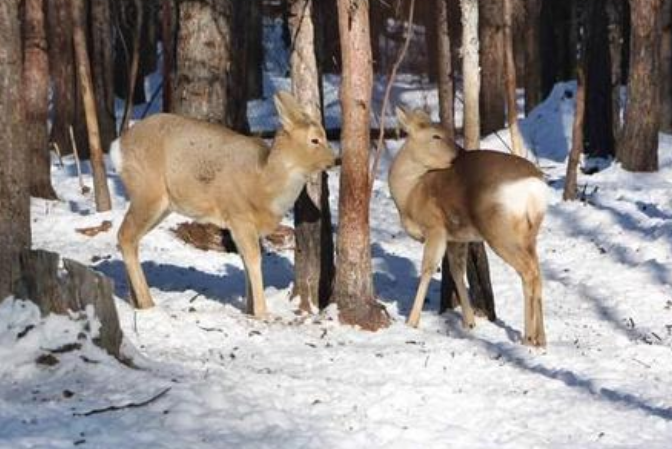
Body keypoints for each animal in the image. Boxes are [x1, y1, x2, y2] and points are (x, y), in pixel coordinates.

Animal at [110, 90, 336, 316]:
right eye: (315, 139)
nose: (334, 160)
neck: (263, 185)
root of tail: (117, 147)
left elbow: (245, 260)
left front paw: (249, 309)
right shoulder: (239, 215)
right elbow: (254, 259)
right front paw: (262, 313)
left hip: (161, 205)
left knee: (130, 239)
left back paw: (135, 300)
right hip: (148, 192)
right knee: (125, 235)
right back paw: (147, 302)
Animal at [386, 108, 548, 346]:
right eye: (436, 135)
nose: (459, 153)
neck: (410, 194)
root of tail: (534, 187)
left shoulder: (435, 227)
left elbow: (427, 269)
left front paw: (411, 322)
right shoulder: (456, 236)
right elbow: (456, 270)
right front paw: (469, 322)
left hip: (500, 231)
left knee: (528, 273)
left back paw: (528, 337)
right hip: (529, 233)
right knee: (537, 272)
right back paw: (542, 339)